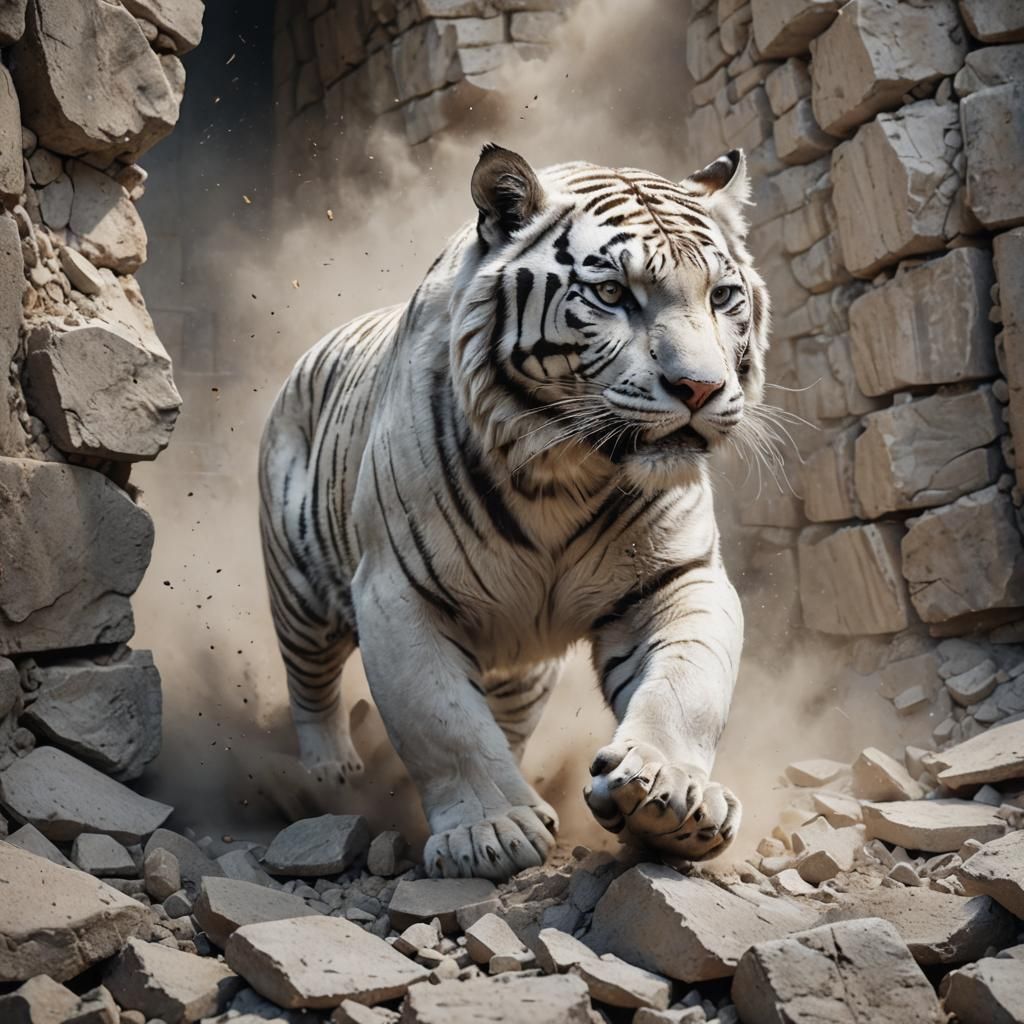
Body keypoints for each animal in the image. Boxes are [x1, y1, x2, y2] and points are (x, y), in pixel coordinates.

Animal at [258, 144, 769, 881]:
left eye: (722, 297)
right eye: (612, 295)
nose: (700, 388)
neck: (568, 474)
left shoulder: (677, 578)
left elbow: (687, 688)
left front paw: (669, 794)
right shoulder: (397, 593)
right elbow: (443, 722)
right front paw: (489, 831)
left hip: (520, 664)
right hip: (300, 592)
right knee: (311, 684)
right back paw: (329, 775)